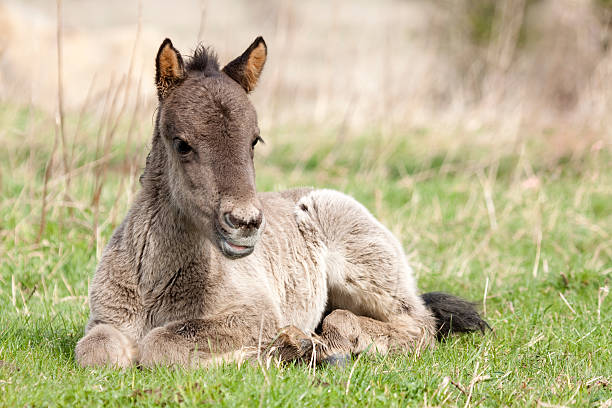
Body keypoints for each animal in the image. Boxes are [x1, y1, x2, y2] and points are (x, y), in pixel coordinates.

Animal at [76, 37, 488, 366]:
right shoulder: (105, 320)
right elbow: (97, 352)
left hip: (366, 270)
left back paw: (313, 346)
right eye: (182, 144)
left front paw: (263, 352)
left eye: (254, 140)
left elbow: (161, 345)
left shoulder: (254, 313)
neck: (155, 284)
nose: (244, 224)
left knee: (415, 324)